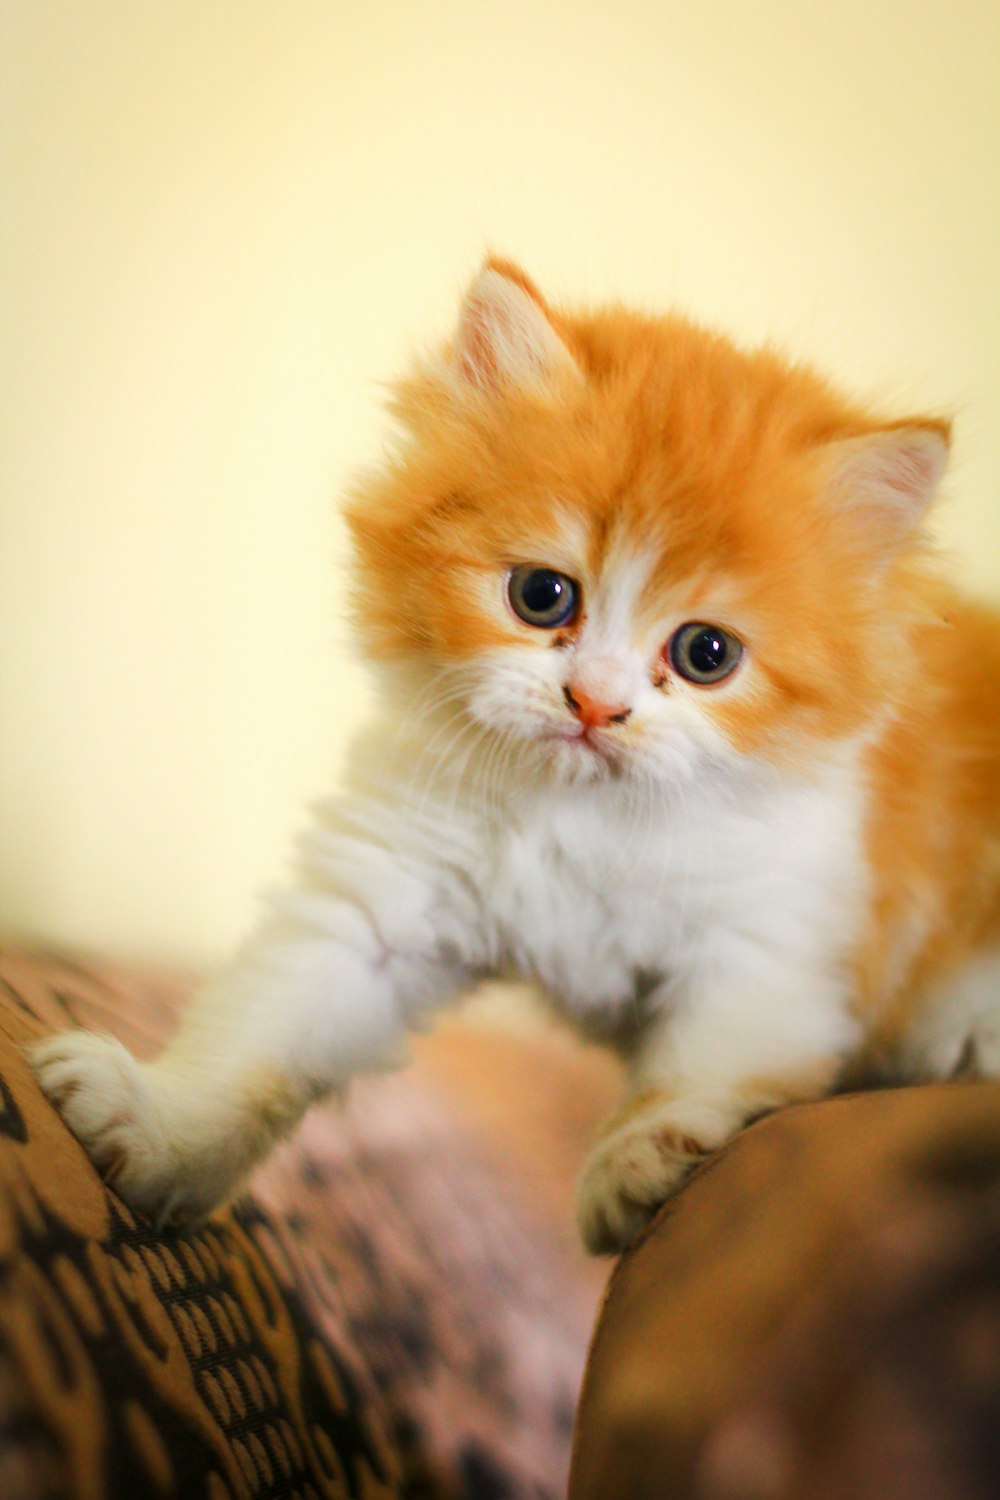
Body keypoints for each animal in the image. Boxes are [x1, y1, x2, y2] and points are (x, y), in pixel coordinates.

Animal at [31, 261, 1000, 1254]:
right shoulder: (383, 895)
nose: (596, 703)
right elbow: (263, 1033)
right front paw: (158, 1128)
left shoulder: (774, 949)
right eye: (542, 595)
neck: (578, 820)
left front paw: (640, 1165)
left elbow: (701, 1072)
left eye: (707, 654)